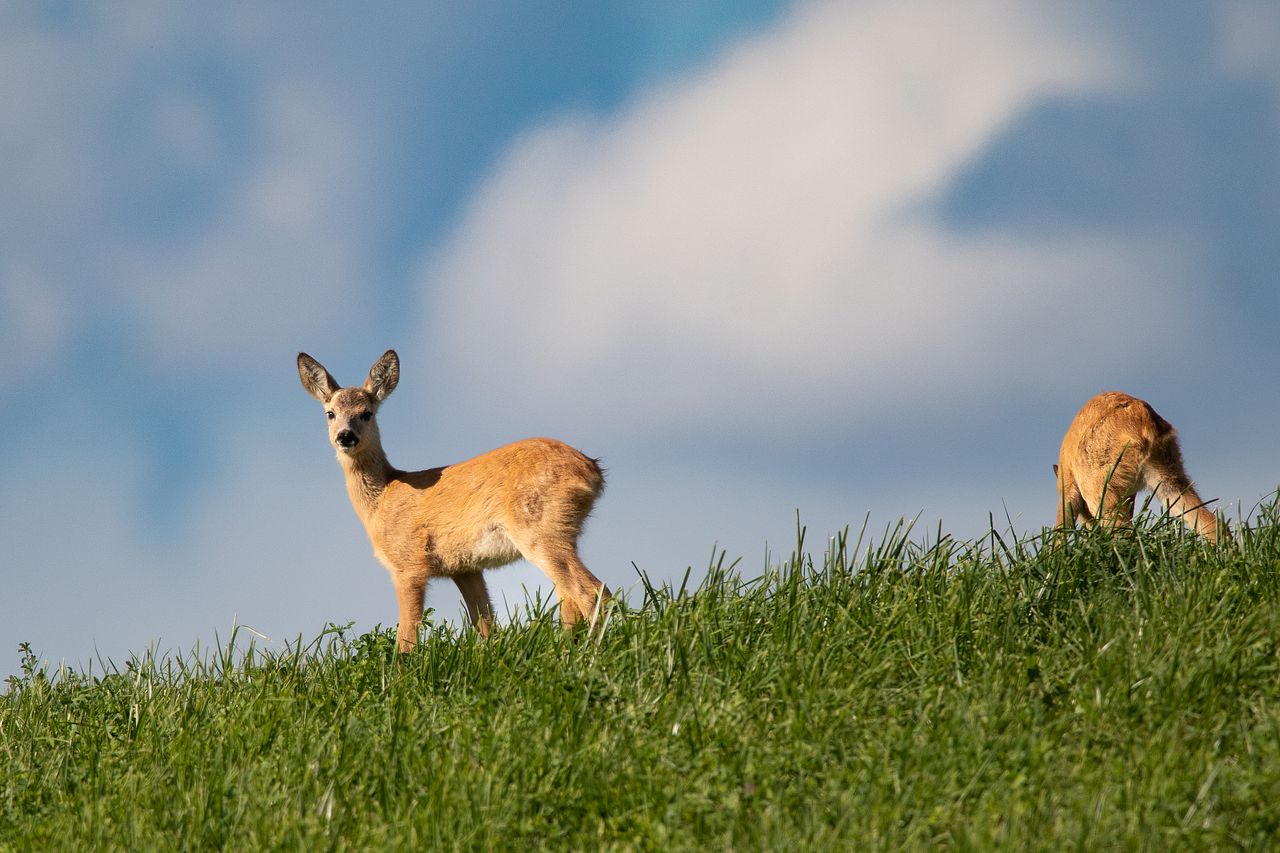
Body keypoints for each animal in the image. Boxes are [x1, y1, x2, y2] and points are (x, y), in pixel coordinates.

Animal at [296, 348, 606, 648]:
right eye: (330, 413)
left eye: (367, 413)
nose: (345, 436)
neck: (382, 498)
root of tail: (592, 470)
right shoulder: (465, 567)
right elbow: (485, 624)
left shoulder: (409, 563)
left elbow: (406, 636)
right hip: (563, 531)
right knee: (569, 599)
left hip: (538, 528)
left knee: (591, 590)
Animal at [1054, 389, 1223, 537]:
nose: (1092, 531)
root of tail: (1142, 415)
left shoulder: (1068, 489)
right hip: (1168, 479)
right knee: (1213, 524)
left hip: (1098, 492)